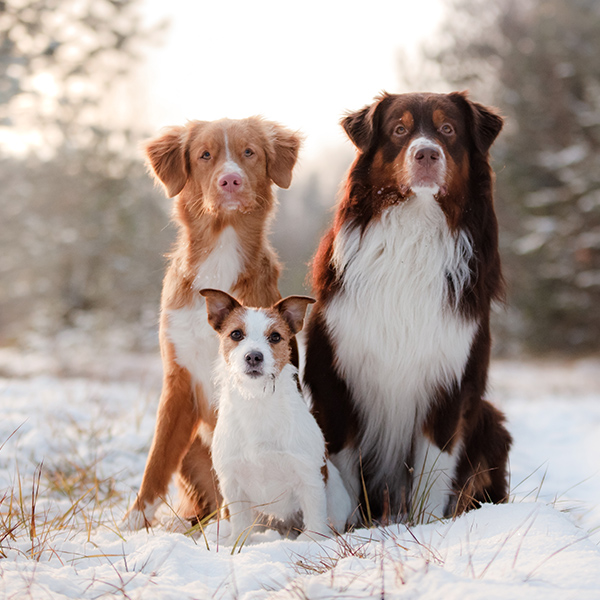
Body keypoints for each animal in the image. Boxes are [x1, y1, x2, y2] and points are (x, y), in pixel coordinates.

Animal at [123, 116, 300, 524]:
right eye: (205, 155)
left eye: (249, 152)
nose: (230, 180)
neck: (221, 250)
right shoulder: (179, 379)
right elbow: (157, 460)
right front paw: (134, 522)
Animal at [304, 91, 510, 524]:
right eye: (399, 130)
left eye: (447, 129)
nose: (426, 153)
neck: (416, 226)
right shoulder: (337, 382)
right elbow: (345, 472)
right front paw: (350, 527)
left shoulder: (450, 382)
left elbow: (433, 469)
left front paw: (427, 527)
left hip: (491, 422)